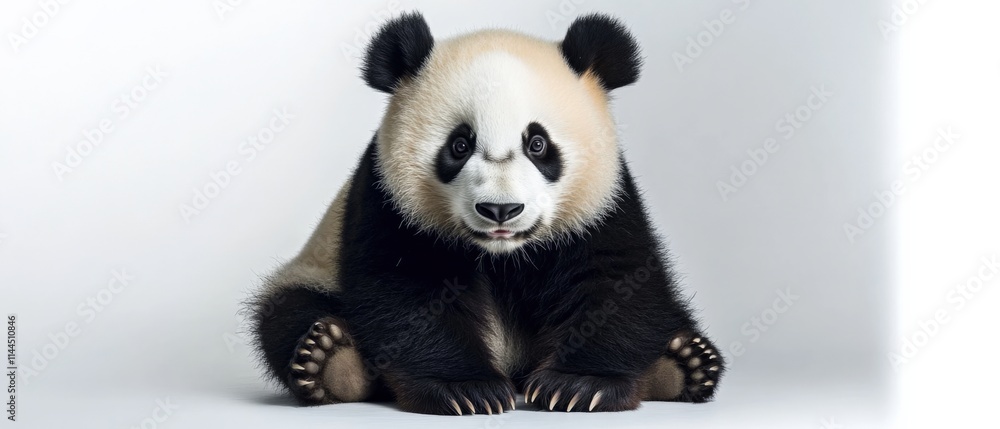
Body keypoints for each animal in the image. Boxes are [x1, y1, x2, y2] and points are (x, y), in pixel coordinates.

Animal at [247, 12, 724, 415]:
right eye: (459, 144)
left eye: (538, 144)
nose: (501, 209)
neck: (503, 256)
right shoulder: (387, 201)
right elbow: (408, 289)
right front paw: (467, 390)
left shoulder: (603, 203)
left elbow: (612, 279)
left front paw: (580, 385)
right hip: (313, 270)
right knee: (287, 312)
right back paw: (331, 360)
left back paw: (683, 362)